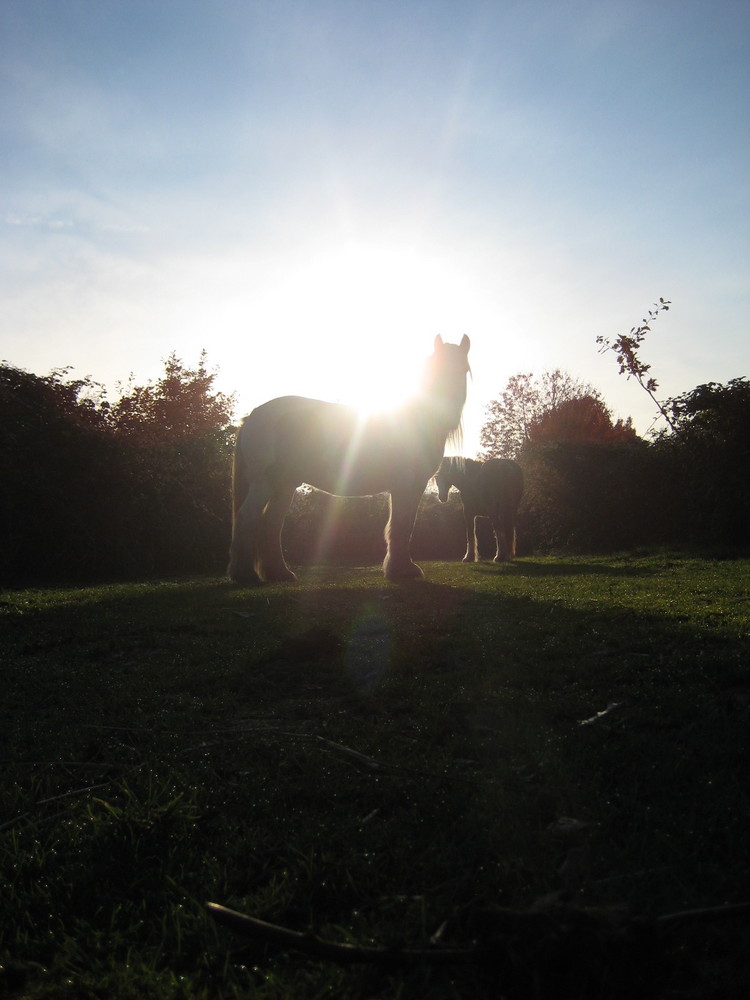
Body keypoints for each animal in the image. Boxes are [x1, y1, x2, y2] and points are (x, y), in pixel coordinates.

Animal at [229, 338, 470, 584]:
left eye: (464, 370)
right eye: (436, 369)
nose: (447, 415)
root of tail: (253, 415)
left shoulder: (412, 486)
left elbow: (406, 525)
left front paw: (402, 568)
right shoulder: (405, 484)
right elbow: (400, 525)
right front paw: (401, 570)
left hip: (284, 486)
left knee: (271, 524)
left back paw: (279, 573)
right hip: (264, 484)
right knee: (247, 518)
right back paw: (245, 574)